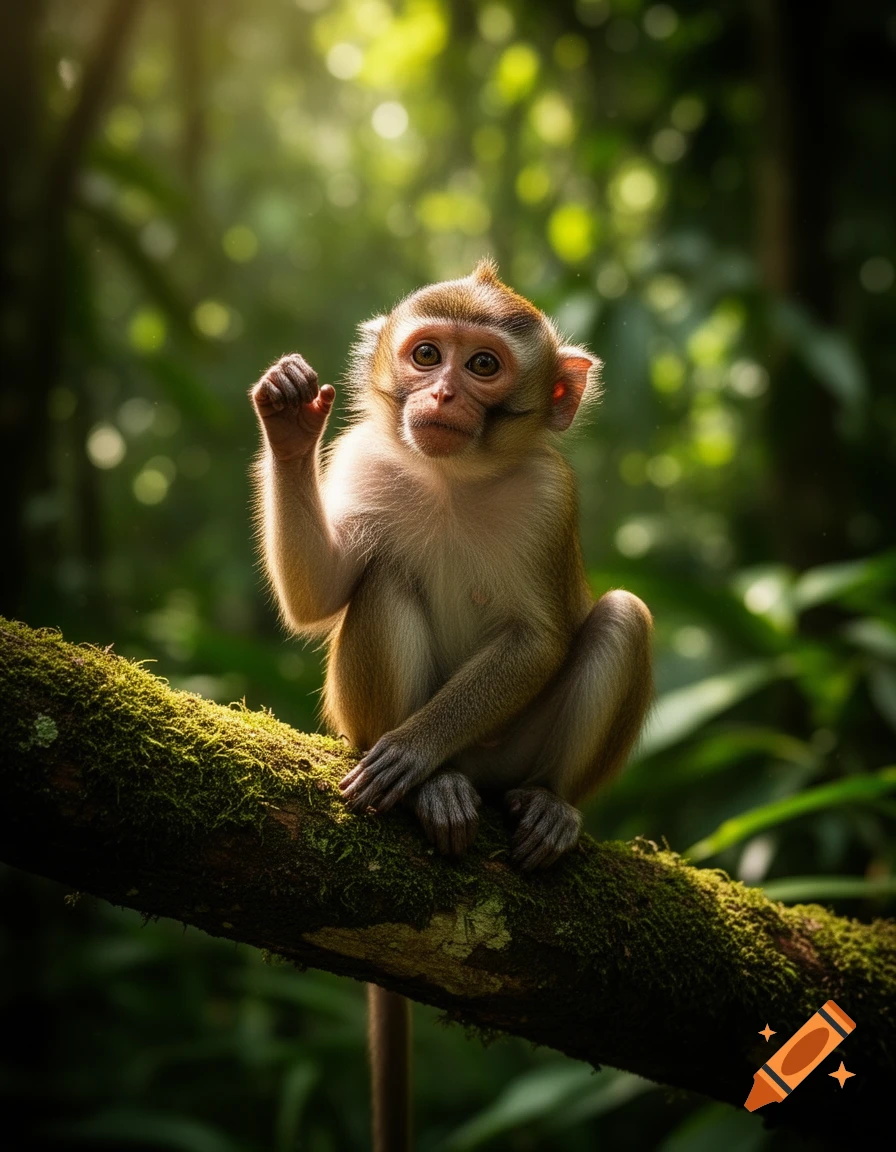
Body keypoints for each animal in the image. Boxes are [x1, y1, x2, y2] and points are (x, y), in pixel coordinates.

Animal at [249, 259, 653, 1152]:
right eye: (427, 354)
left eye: (484, 366)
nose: (439, 396)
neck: (451, 479)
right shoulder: (364, 458)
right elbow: (322, 592)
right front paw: (288, 420)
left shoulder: (549, 496)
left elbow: (539, 638)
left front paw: (416, 752)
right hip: (360, 726)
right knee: (382, 579)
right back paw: (438, 788)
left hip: (515, 751)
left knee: (621, 616)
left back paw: (540, 804)